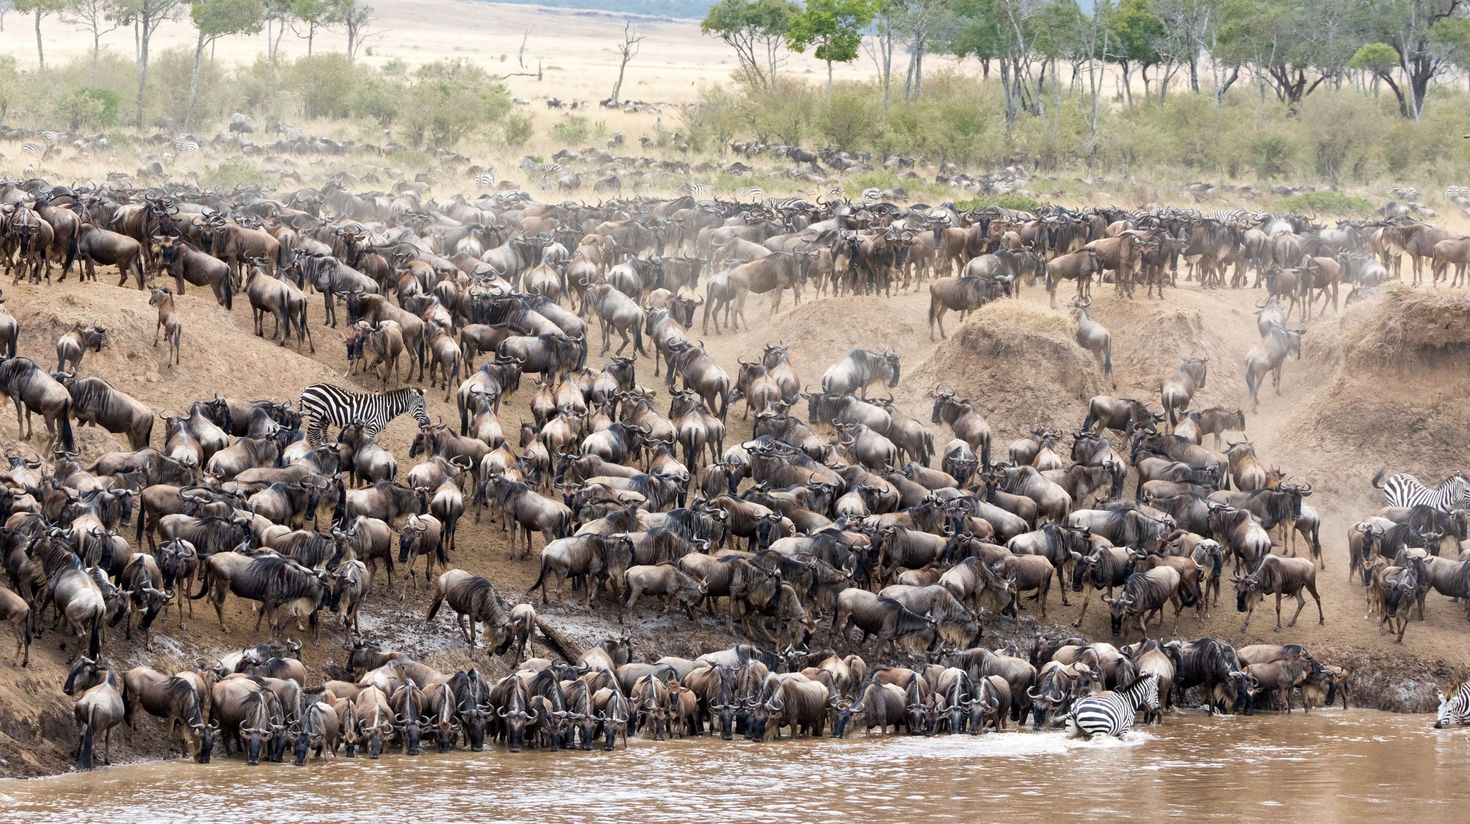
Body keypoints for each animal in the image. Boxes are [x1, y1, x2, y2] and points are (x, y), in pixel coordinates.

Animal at [298, 384, 430, 448]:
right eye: (420, 406)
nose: (428, 424)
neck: (384, 409)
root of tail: (307, 387)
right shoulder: (371, 428)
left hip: (321, 415)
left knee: (315, 433)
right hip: (316, 412)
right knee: (310, 433)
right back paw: (314, 451)